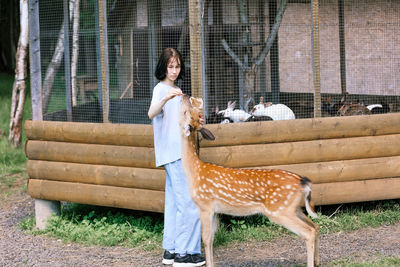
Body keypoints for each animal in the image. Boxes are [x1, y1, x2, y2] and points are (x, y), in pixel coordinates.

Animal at [180, 95, 320, 266]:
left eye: (186, 111)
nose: (186, 96)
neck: (195, 170)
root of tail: (304, 182)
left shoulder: (204, 205)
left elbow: (206, 240)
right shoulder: (214, 211)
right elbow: (211, 239)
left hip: (280, 210)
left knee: (309, 232)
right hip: (294, 208)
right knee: (315, 226)